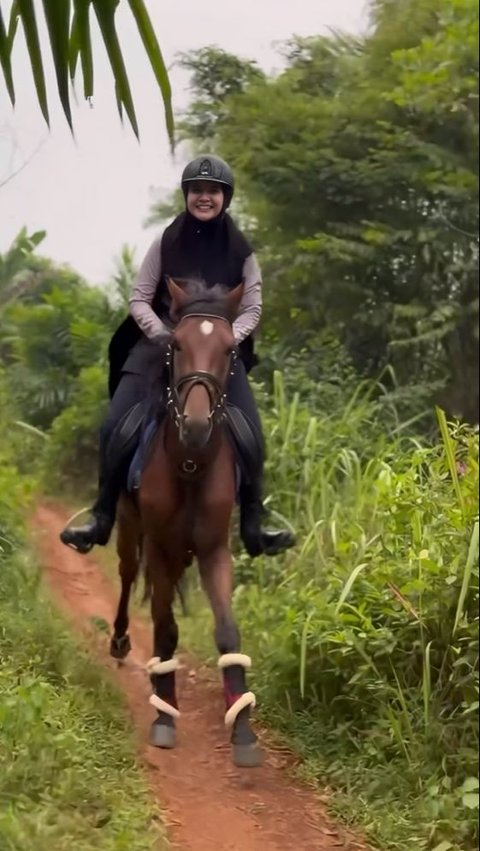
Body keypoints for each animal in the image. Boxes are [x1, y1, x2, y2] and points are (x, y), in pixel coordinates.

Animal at [109, 276, 262, 768]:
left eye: (231, 350)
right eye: (176, 344)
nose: (195, 426)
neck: (190, 464)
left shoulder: (214, 550)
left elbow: (228, 632)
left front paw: (243, 729)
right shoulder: (158, 548)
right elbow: (166, 628)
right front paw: (164, 714)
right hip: (128, 526)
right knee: (126, 575)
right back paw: (120, 642)